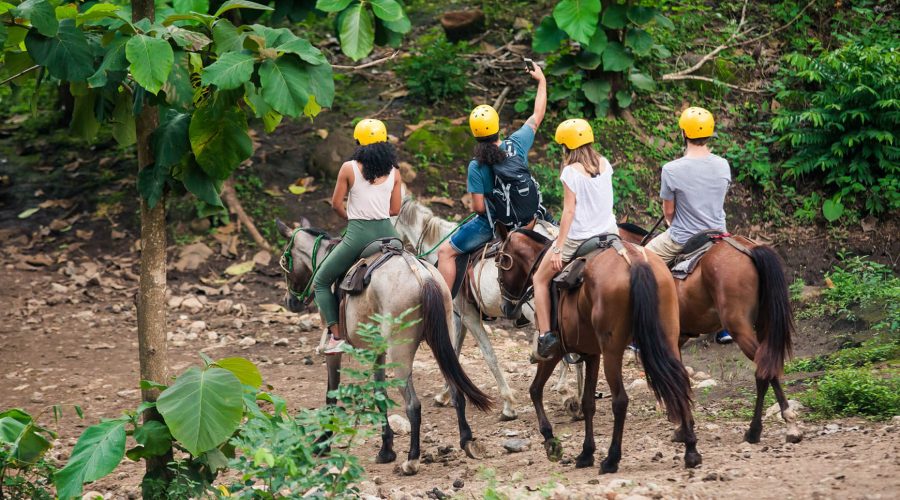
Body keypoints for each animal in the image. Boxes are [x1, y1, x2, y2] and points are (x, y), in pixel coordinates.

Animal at [278, 217, 496, 474]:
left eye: (286, 260)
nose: (290, 302)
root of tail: (422, 276)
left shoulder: (334, 353)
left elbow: (331, 395)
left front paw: (323, 441)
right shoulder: (378, 351)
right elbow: (379, 394)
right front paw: (386, 449)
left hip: (401, 355)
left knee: (413, 405)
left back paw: (412, 459)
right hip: (443, 344)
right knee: (455, 391)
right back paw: (466, 440)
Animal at [394, 195, 584, 418]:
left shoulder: (468, 316)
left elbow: (488, 354)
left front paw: (508, 404)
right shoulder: (459, 317)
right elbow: (454, 351)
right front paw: (445, 394)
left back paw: (568, 394)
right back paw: (577, 399)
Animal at [496, 229, 700, 472]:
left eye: (501, 262)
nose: (506, 308)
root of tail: (634, 260)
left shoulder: (554, 351)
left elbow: (535, 390)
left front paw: (551, 441)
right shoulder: (591, 352)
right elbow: (588, 403)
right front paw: (586, 453)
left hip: (613, 351)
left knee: (620, 401)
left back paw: (612, 459)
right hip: (667, 339)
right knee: (680, 385)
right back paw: (691, 450)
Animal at [620, 224, 800, 446]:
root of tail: (749, 249)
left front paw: (681, 426)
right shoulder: (677, 339)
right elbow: (680, 376)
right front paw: (684, 426)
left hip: (739, 326)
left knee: (764, 369)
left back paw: (761, 429)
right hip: (763, 324)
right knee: (768, 367)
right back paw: (777, 427)